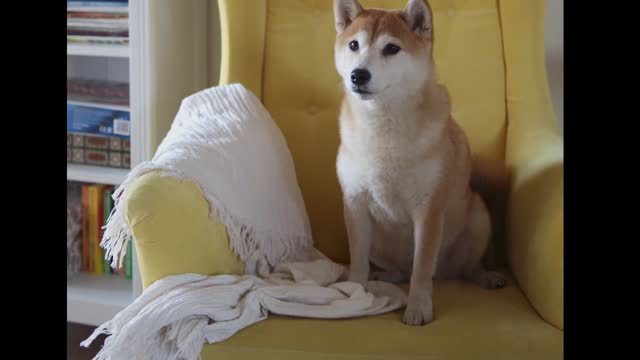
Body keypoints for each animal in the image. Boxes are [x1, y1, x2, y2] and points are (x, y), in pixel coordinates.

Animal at [336, 0, 504, 326]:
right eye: (353, 45)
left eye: (391, 48)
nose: (358, 75)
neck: (383, 126)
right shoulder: (354, 204)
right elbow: (358, 261)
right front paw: (355, 293)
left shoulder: (428, 209)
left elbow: (422, 268)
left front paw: (418, 307)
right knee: (401, 270)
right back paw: (385, 276)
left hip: (478, 214)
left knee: (466, 268)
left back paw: (486, 277)